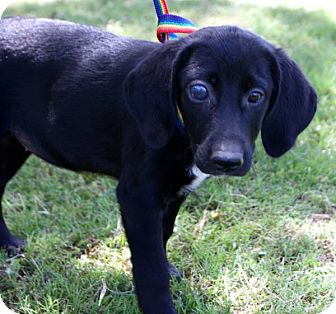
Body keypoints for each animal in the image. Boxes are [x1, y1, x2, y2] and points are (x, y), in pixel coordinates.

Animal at [0, 16, 316, 314]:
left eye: (256, 96)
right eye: (198, 91)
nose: (226, 161)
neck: (181, 129)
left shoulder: (175, 191)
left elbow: (163, 237)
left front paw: (167, 268)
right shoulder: (138, 195)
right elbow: (149, 266)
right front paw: (160, 306)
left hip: (13, 147)